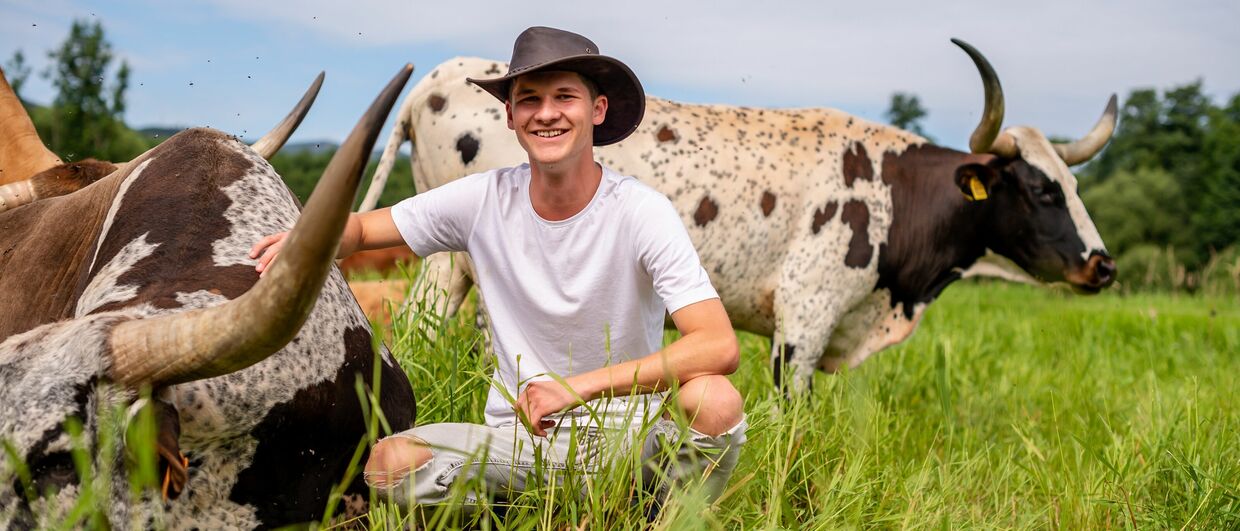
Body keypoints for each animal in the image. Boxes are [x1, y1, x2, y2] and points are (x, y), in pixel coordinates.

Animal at [362, 40, 1125, 389]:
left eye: (1074, 183)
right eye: (1040, 190)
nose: (1103, 265)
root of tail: (437, 79)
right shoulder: (803, 319)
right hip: (444, 264)